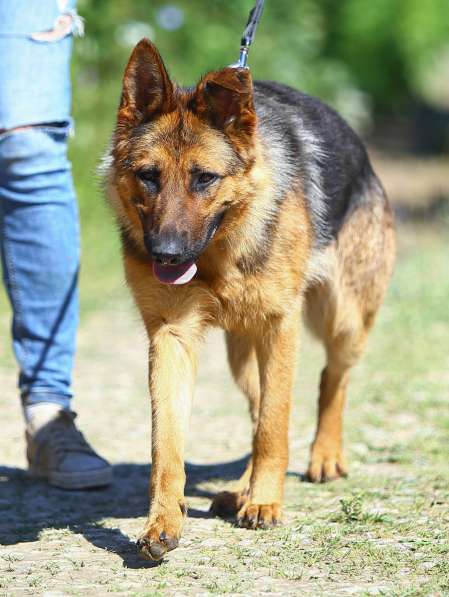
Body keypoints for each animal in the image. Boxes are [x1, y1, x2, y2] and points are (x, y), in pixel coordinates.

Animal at [103, 38, 394, 560]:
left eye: (204, 178)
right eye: (148, 176)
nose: (165, 254)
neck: (219, 257)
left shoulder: (280, 326)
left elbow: (275, 428)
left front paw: (265, 503)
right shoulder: (171, 338)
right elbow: (167, 445)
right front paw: (163, 522)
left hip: (341, 321)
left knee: (330, 379)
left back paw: (321, 458)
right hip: (243, 357)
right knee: (260, 409)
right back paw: (241, 487)